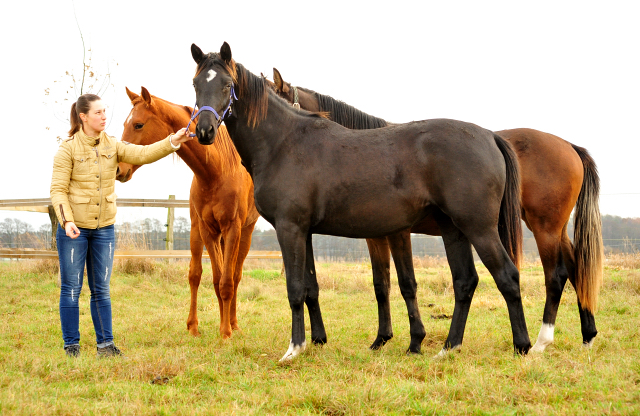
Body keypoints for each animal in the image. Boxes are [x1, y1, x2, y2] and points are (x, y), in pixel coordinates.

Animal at [116, 88, 258, 342]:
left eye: (138, 124)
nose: (119, 168)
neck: (217, 171)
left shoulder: (232, 229)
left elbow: (227, 281)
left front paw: (226, 331)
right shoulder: (207, 230)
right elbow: (215, 279)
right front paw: (217, 327)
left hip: (245, 233)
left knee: (236, 275)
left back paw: (233, 323)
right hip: (196, 232)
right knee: (196, 275)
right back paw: (196, 325)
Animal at [190, 42, 528, 360]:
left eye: (226, 84)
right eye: (195, 83)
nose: (204, 131)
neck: (284, 142)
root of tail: (489, 136)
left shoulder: (290, 228)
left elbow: (296, 289)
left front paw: (294, 348)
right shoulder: (306, 232)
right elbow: (312, 287)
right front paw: (318, 340)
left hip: (479, 228)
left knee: (507, 276)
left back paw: (523, 346)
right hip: (454, 229)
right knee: (465, 281)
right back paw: (448, 348)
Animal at [272, 66, 604, 352]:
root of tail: (569, 146)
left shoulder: (398, 233)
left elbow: (406, 283)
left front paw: (411, 340)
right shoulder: (375, 236)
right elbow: (381, 284)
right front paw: (381, 339)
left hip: (543, 228)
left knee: (556, 275)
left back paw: (540, 342)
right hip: (554, 230)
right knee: (576, 267)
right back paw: (587, 335)